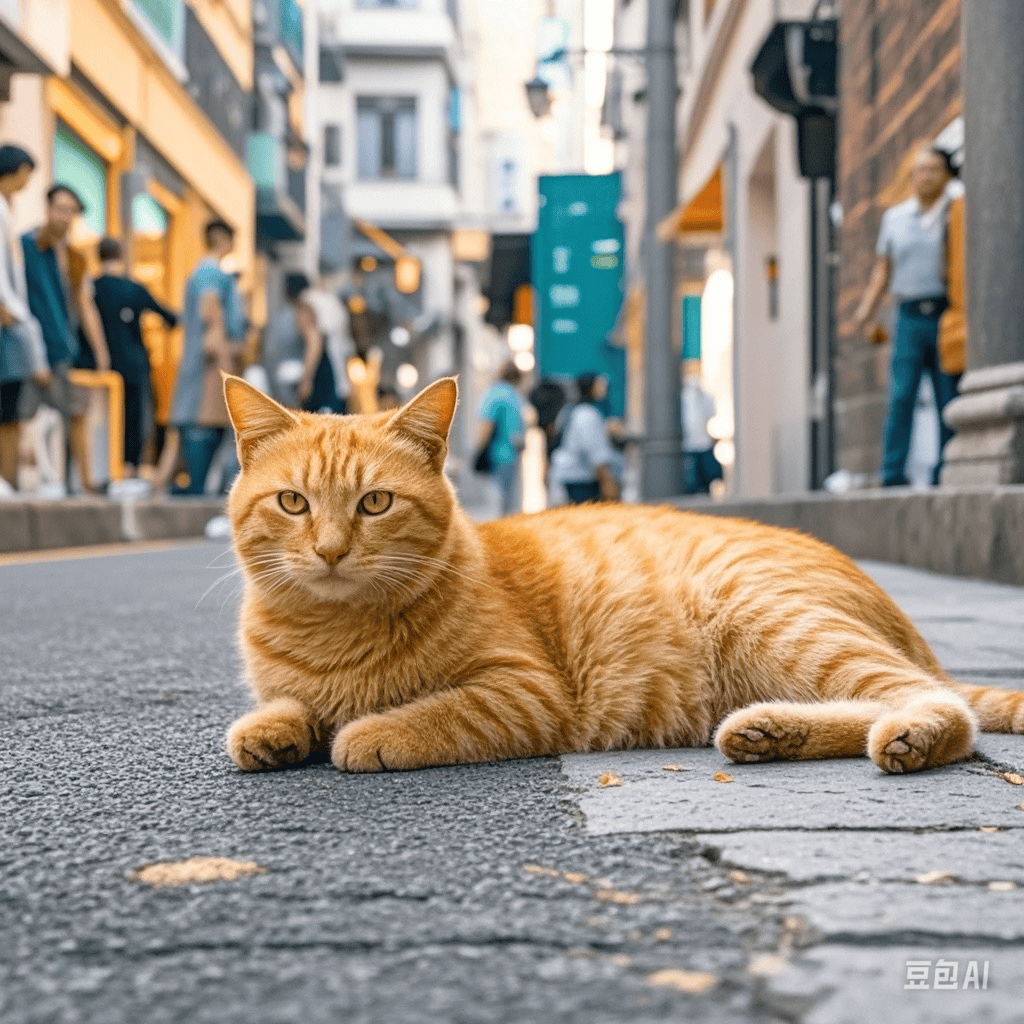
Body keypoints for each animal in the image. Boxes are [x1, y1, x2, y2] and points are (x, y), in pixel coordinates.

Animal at [222, 376, 1024, 774]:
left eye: (375, 503)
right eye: (293, 503)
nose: (330, 550)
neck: (331, 633)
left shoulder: (524, 693)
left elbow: (427, 713)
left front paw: (366, 732)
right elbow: (285, 706)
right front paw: (275, 731)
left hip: (776, 621)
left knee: (944, 706)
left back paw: (905, 737)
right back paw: (767, 733)